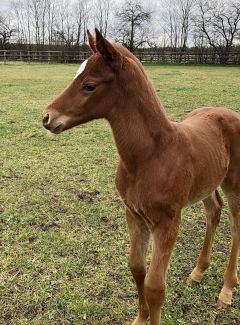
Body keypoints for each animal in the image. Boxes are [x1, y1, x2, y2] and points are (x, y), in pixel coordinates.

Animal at [43, 29, 240, 322]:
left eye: (89, 85)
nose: (47, 117)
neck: (149, 156)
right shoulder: (133, 214)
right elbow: (136, 268)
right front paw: (140, 317)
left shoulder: (168, 222)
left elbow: (155, 286)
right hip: (207, 183)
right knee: (214, 210)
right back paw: (198, 271)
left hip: (234, 183)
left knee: (236, 224)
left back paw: (226, 290)